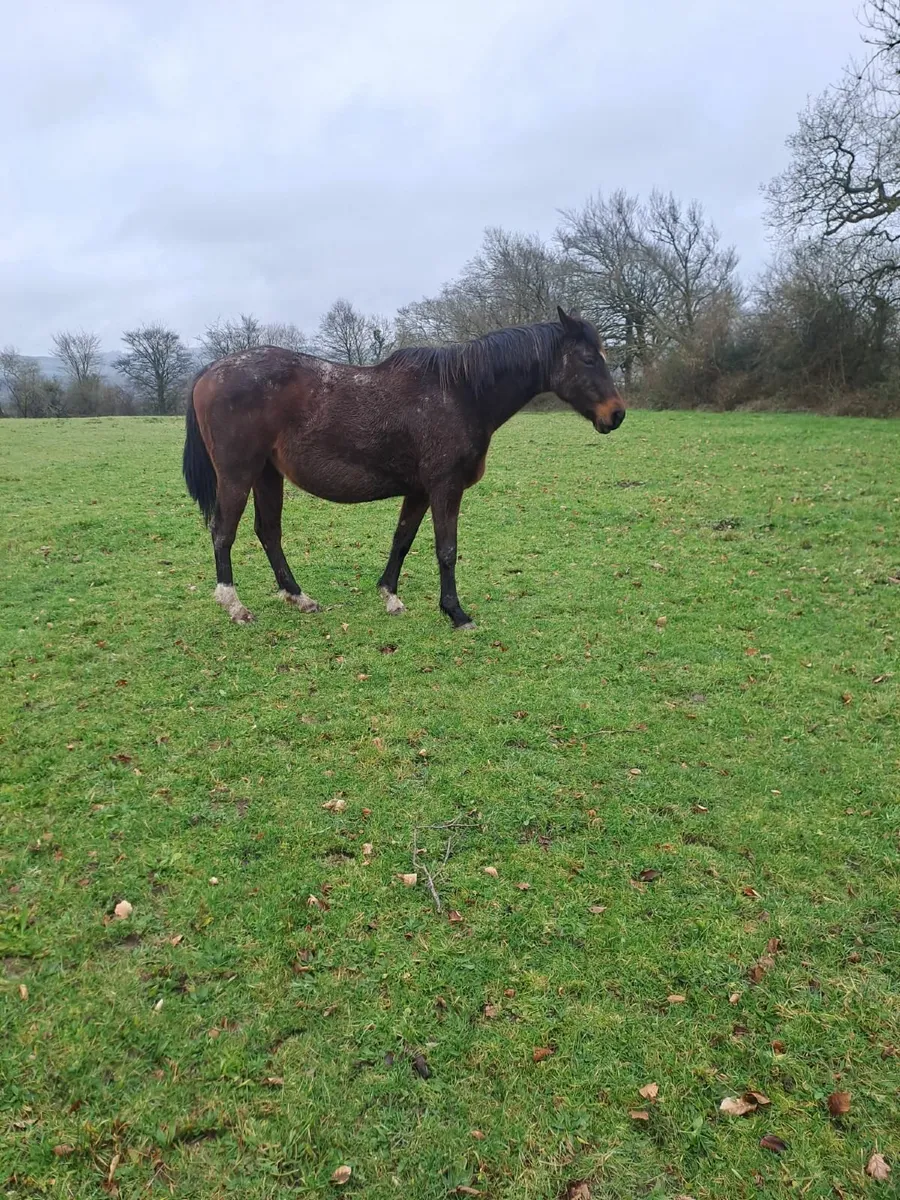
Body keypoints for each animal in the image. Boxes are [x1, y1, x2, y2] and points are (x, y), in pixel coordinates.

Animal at [182, 307, 625, 629]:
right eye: (588, 359)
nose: (617, 414)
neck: (459, 393)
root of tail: (209, 372)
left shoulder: (419, 490)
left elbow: (402, 540)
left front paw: (390, 596)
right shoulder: (445, 487)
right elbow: (446, 549)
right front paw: (456, 613)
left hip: (267, 474)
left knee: (269, 532)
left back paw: (299, 597)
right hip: (238, 474)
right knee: (224, 533)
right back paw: (234, 606)